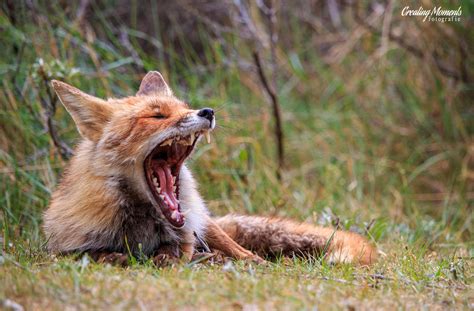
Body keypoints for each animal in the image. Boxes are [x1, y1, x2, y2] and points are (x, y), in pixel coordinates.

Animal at [44, 72, 378, 266]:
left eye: (184, 108)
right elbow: (94, 255)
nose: (207, 111)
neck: (142, 225)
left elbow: (176, 253)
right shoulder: (64, 246)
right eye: (157, 116)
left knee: (246, 254)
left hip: (209, 227)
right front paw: (117, 257)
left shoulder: (186, 238)